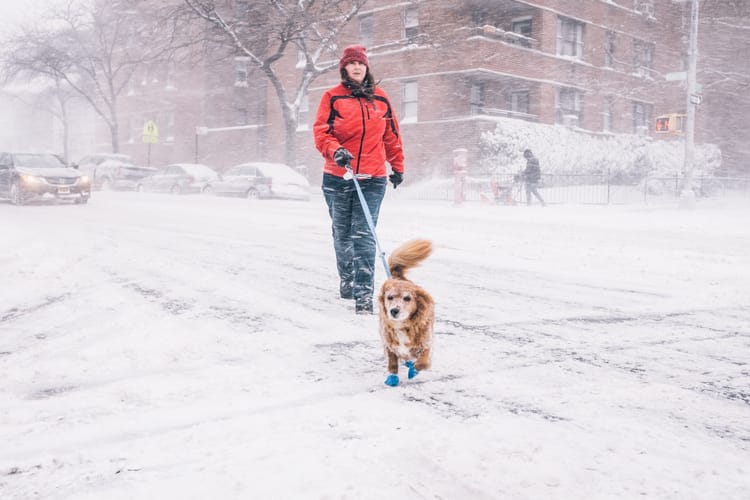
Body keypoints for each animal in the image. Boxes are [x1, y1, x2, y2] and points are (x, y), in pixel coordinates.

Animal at [382, 238, 434, 386]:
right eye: (389, 297)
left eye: (407, 298)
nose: (394, 310)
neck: (403, 325)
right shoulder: (389, 344)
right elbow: (392, 363)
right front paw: (392, 377)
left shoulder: (426, 344)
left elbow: (423, 363)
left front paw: (414, 371)